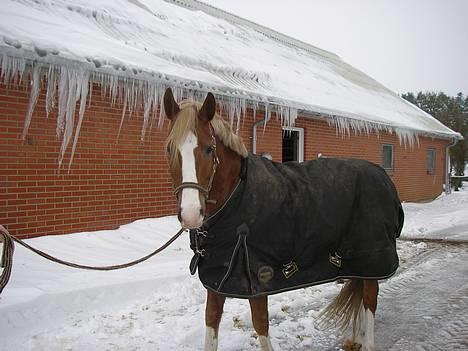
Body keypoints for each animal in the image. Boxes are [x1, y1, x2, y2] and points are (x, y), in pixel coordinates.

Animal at [163, 86, 404, 350]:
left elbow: (261, 326)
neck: (238, 198)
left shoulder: (258, 282)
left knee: (370, 300)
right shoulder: (217, 284)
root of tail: (382, 176)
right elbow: (211, 327)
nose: (190, 213)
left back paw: (367, 341)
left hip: (373, 259)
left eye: (209, 149)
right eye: (169, 148)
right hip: (358, 263)